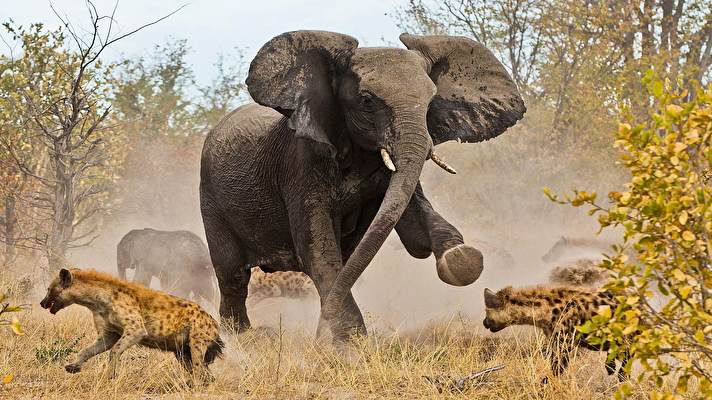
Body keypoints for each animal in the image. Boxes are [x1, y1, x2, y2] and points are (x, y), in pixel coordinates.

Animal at [197, 30, 524, 340]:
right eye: (367, 101)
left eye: (431, 103)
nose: (317, 337)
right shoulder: (301, 164)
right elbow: (317, 251)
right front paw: (350, 345)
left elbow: (415, 227)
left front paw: (460, 258)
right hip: (210, 198)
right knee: (233, 275)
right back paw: (240, 337)